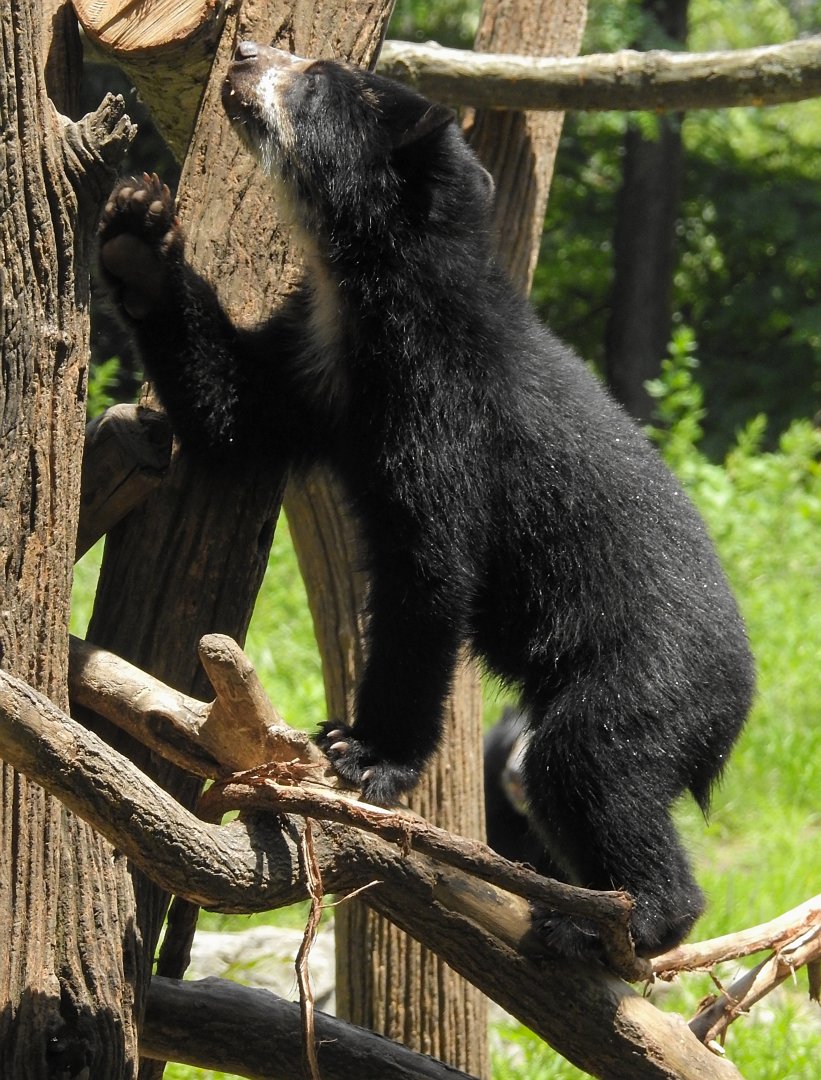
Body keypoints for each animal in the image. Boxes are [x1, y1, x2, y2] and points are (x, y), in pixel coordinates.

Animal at [98, 41, 755, 960]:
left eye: (314, 79)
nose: (246, 51)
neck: (368, 299)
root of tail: (737, 706)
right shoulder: (318, 369)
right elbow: (234, 409)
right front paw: (137, 229)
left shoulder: (441, 413)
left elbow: (428, 576)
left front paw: (362, 752)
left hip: (647, 679)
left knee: (589, 767)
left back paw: (621, 923)